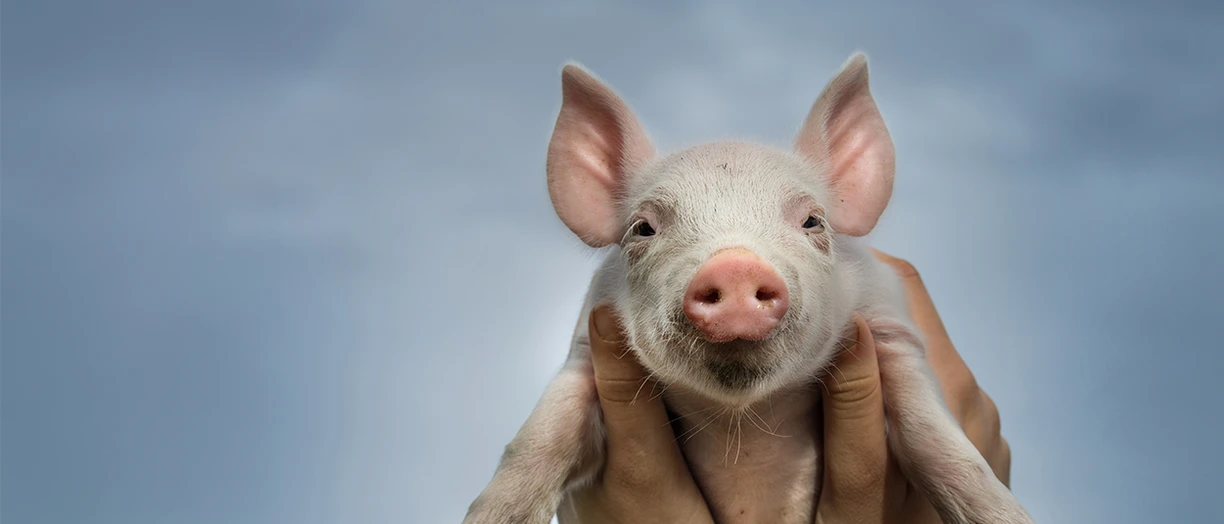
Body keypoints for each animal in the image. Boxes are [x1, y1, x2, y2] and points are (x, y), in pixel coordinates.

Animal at [463, 52, 1035, 524]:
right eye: (643, 228)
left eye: (812, 221)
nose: (735, 267)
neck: (743, 425)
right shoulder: (587, 344)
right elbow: (538, 439)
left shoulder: (891, 327)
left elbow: (940, 440)